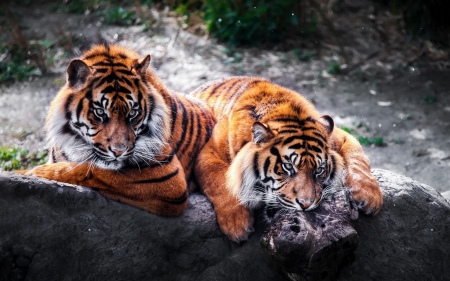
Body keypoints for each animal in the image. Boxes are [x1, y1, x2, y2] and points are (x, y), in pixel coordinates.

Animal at [22, 43, 215, 215]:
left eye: (133, 113)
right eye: (100, 112)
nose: (118, 152)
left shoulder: (167, 175)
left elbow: (88, 170)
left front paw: (34, 172)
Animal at [192, 76, 384, 241]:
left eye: (319, 171)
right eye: (288, 167)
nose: (306, 204)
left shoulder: (341, 136)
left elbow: (358, 157)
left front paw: (370, 197)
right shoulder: (207, 152)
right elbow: (221, 181)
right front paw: (237, 224)